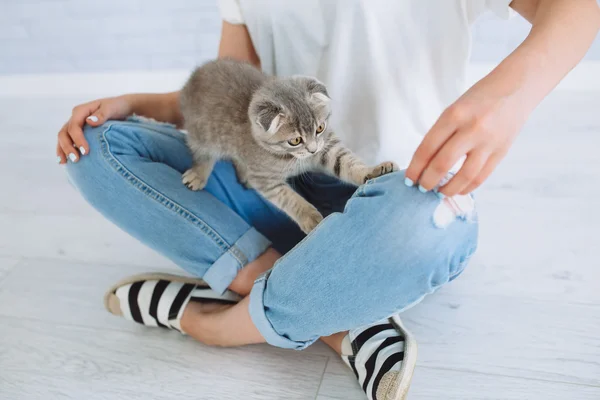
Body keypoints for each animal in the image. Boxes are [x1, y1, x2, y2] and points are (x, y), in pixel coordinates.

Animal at [180, 59, 396, 234]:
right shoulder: (266, 180)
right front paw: (310, 217)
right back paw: (198, 175)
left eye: (319, 128)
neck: (293, 157)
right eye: (295, 140)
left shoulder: (328, 148)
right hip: (202, 134)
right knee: (204, 155)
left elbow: (347, 163)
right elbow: (290, 199)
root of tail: (194, 75)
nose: (312, 149)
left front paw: (372, 170)